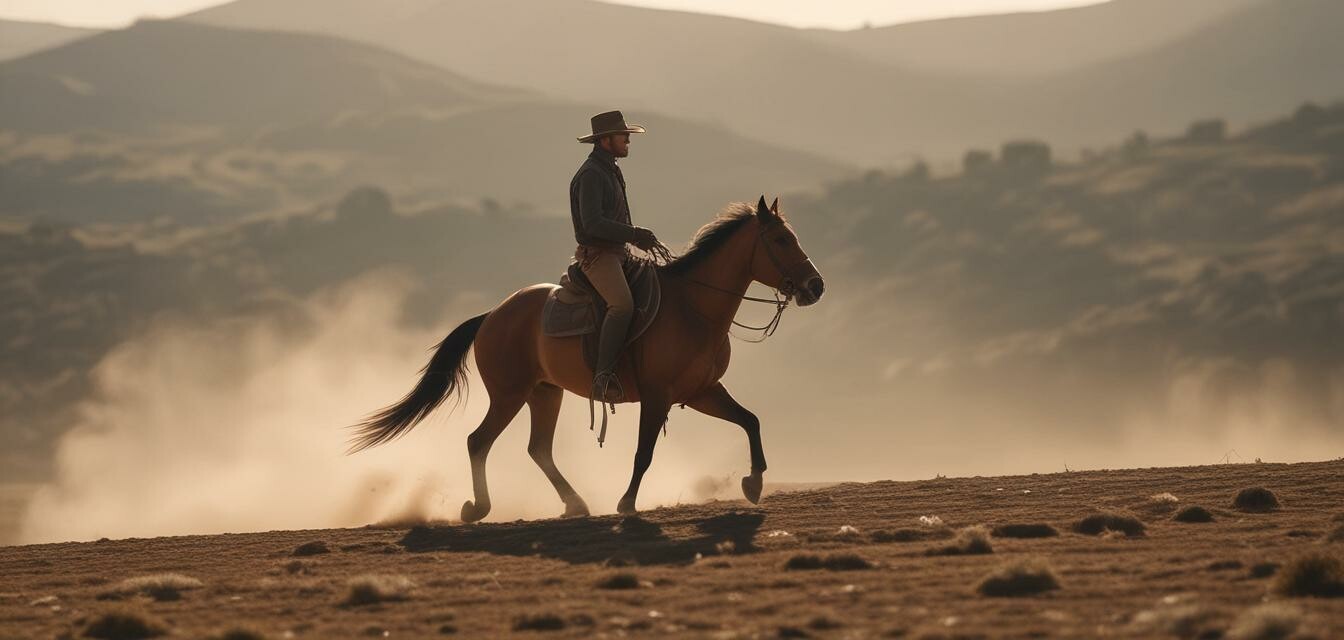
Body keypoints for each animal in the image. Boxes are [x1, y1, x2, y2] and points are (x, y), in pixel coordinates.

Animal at [346, 194, 822, 518]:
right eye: (781, 239)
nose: (815, 286)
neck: (692, 307)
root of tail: (492, 315)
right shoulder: (657, 396)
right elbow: (644, 452)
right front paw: (626, 502)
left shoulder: (701, 391)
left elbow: (750, 420)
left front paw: (754, 482)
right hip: (508, 394)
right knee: (479, 441)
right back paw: (477, 509)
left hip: (545, 393)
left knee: (538, 449)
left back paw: (574, 504)